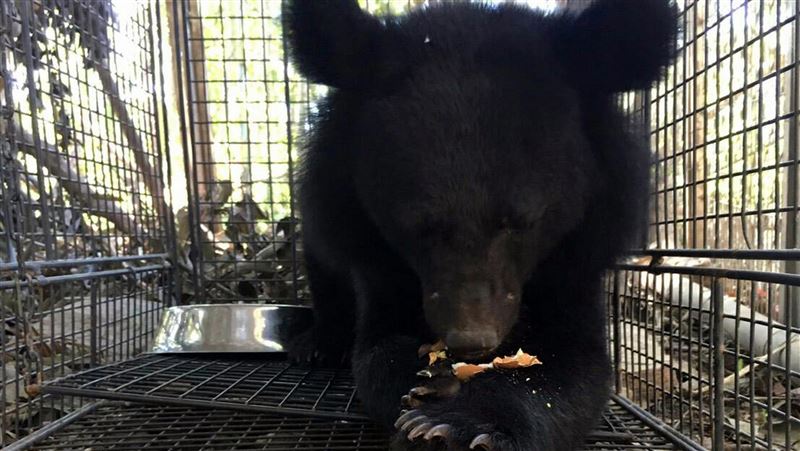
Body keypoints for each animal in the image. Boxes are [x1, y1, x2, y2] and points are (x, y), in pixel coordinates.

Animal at [283, 0, 677, 450]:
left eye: (523, 221)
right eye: (417, 226)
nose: (472, 341)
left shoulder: (577, 256)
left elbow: (580, 364)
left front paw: (463, 421)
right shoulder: (374, 254)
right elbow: (377, 348)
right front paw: (434, 382)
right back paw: (316, 343)